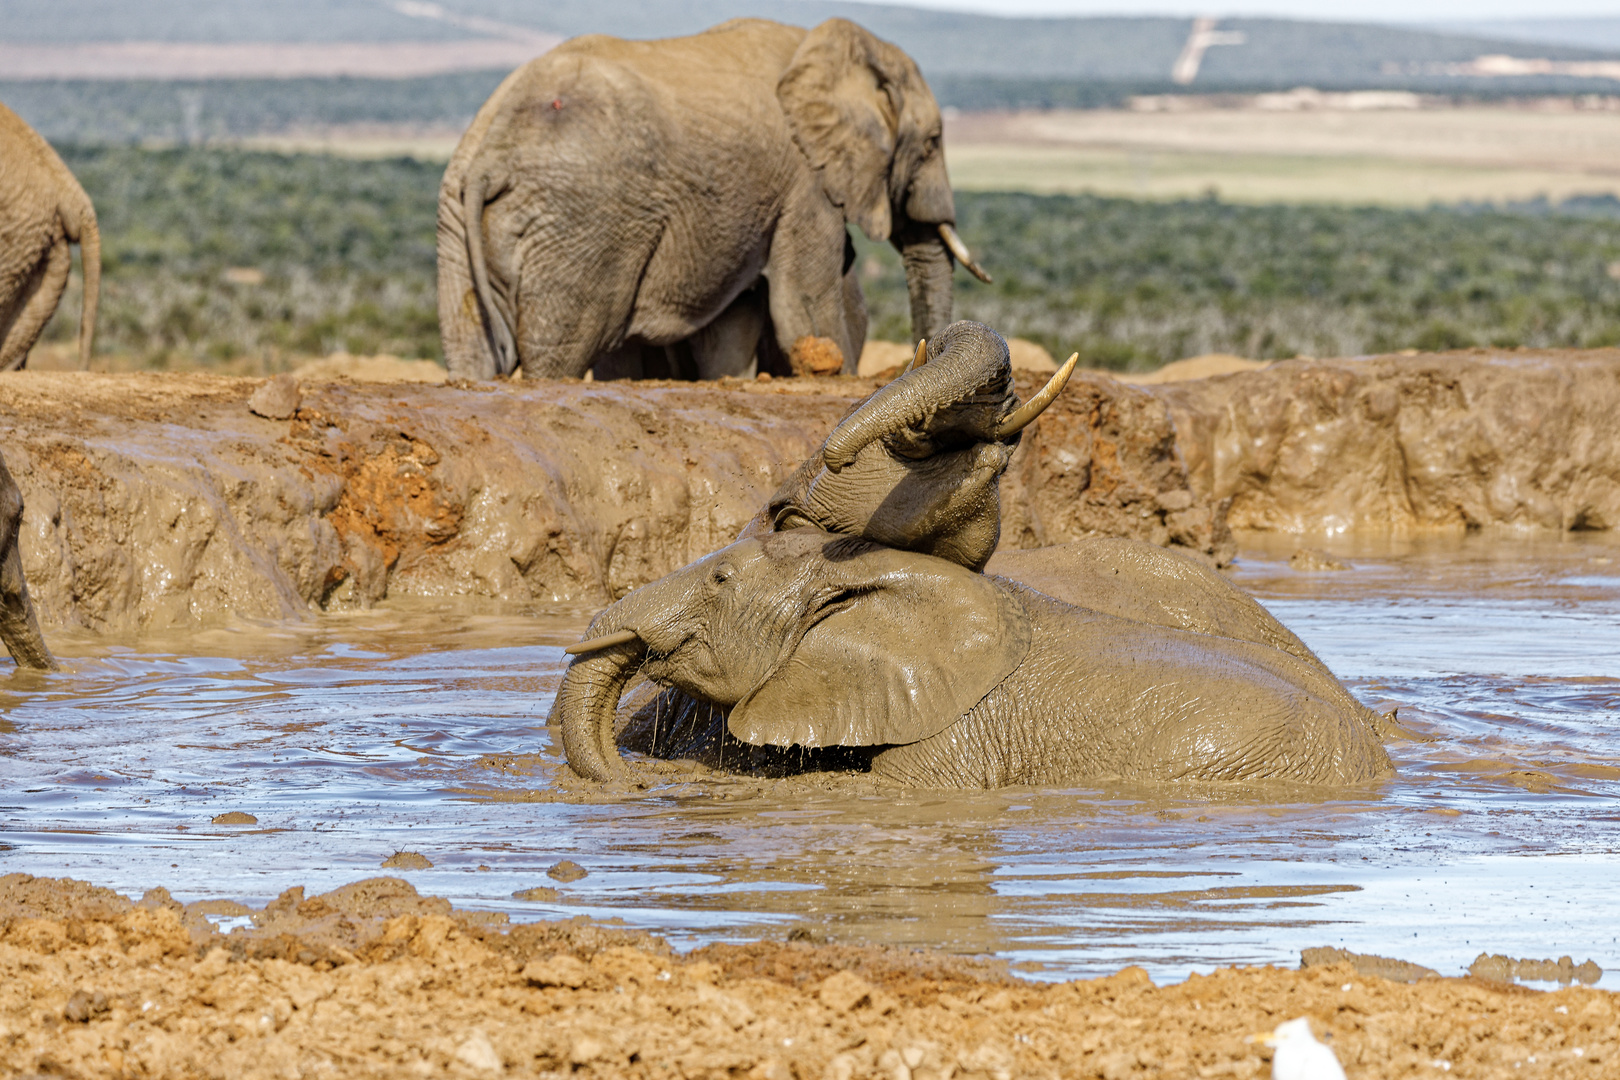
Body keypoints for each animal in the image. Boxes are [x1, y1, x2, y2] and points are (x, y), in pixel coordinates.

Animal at [434, 16, 984, 382]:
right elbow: (803, 302)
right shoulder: (805, 178)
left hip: (457, 217)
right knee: (563, 350)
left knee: (473, 347)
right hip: (582, 225)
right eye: (932, 142)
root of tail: (489, 154)